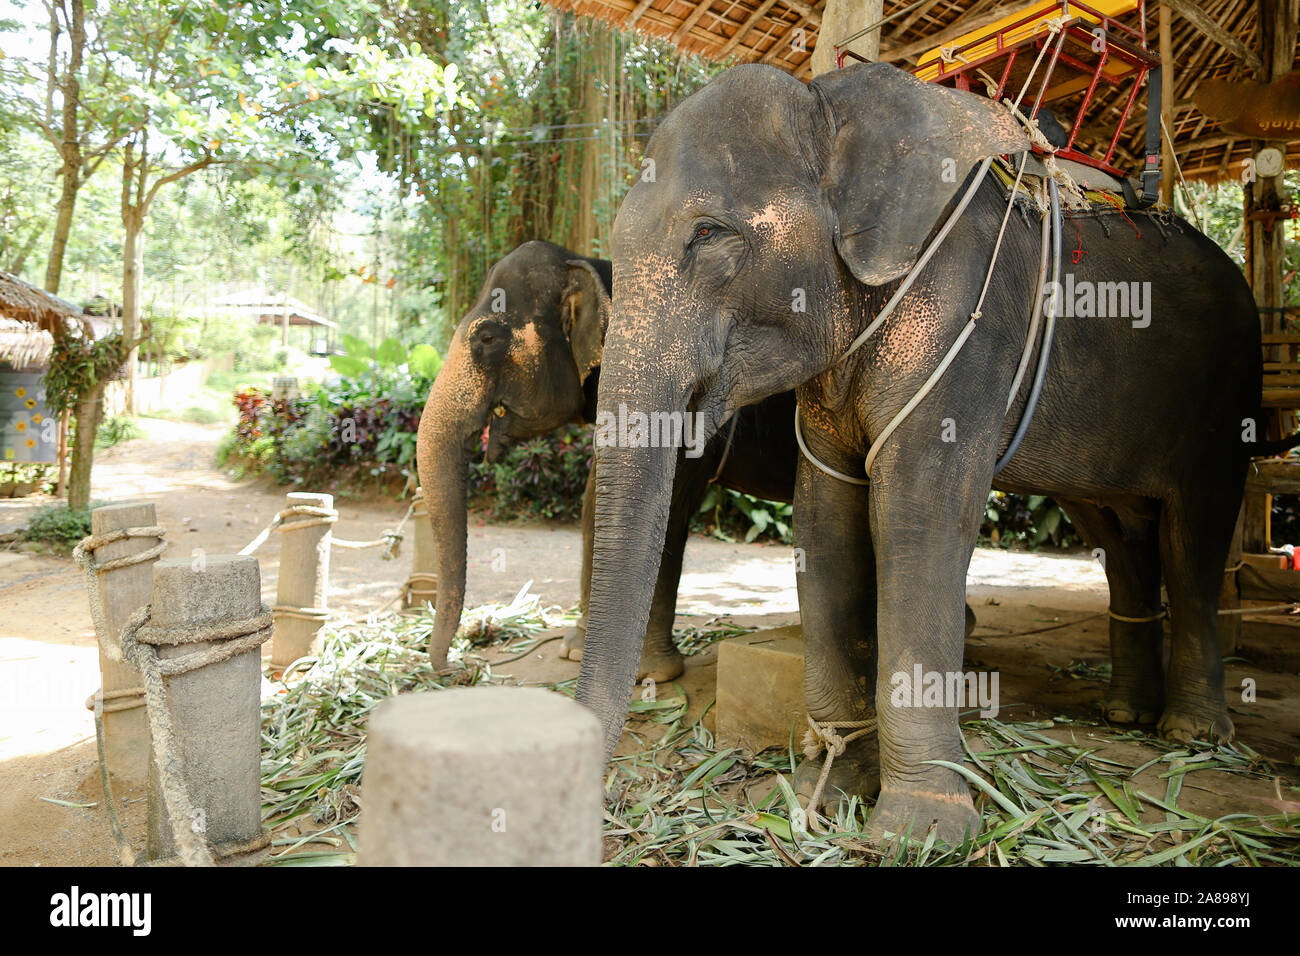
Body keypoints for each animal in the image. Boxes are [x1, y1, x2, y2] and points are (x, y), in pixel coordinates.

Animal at [574, 63, 1284, 842]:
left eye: (709, 233)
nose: (605, 804)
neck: (837, 102)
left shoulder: (964, 320)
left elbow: (920, 515)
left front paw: (920, 827)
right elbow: (825, 520)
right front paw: (833, 792)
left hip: (1226, 395)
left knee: (1193, 536)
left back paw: (1190, 733)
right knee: (1118, 535)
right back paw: (1126, 713)